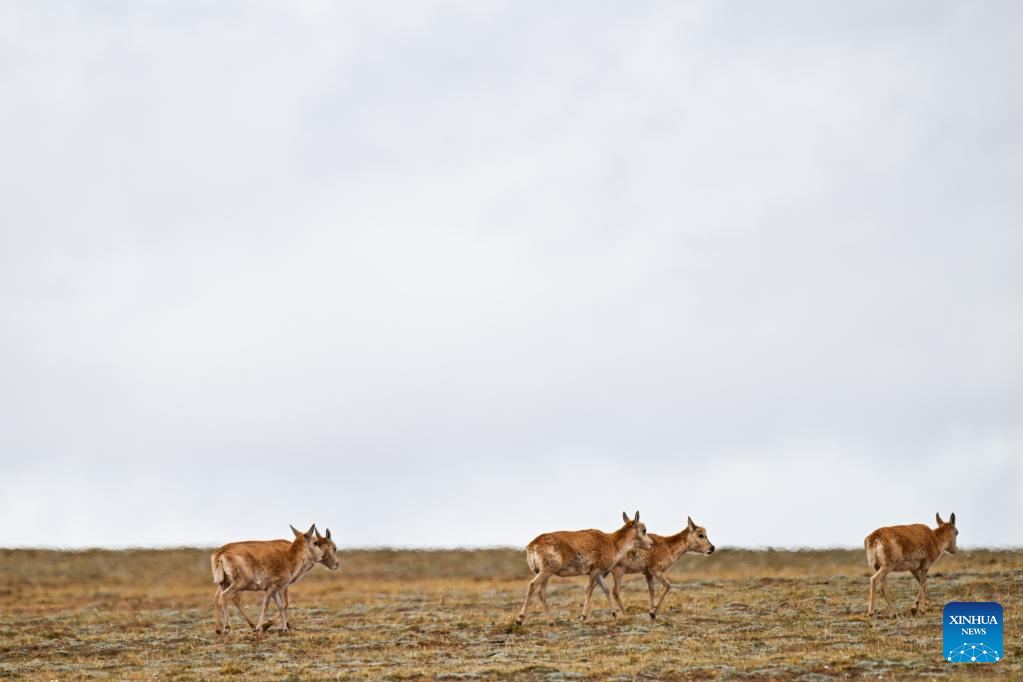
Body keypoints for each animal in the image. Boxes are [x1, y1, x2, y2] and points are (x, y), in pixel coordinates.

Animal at [210, 523, 339, 633]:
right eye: (316, 542)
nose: (337, 564)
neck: (290, 555)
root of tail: (220, 554)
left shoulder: (274, 589)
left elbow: (280, 606)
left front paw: (284, 627)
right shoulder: (277, 586)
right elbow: (274, 604)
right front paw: (263, 627)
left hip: (224, 583)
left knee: (218, 597)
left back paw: (219, 629)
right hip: (239, 584)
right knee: (227, 596)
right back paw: (229, 627)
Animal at [515, 509, 650, 625]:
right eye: (644, 530)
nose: (651, 544)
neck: (612, 542)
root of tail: (532, 545)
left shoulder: (599, 573)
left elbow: (606, 589)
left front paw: (614, 614)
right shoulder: (594, 571)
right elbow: (589, 589)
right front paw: (584, 617)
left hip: (545, 574)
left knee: (541, 593)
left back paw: (551, 622)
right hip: (545, 572)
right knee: (532, 585)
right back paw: (520, 619)